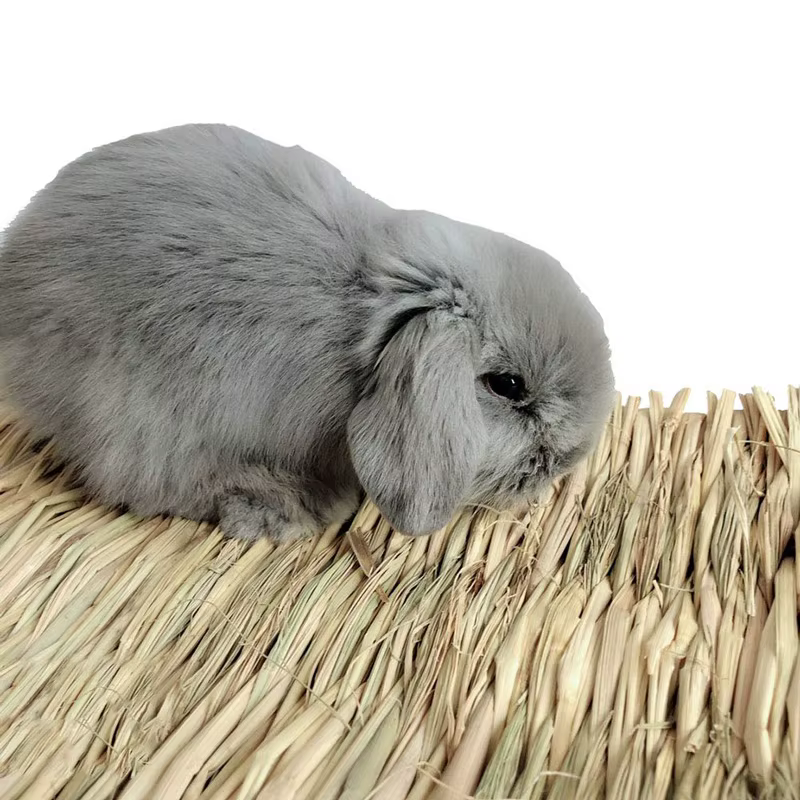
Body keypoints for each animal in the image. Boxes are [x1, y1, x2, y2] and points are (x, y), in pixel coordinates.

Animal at [0, 124, 614, 541]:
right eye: (507, 386)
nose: (569, 460)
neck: (371, 320)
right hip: (135, 415)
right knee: (150, 483)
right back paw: (283, 507)